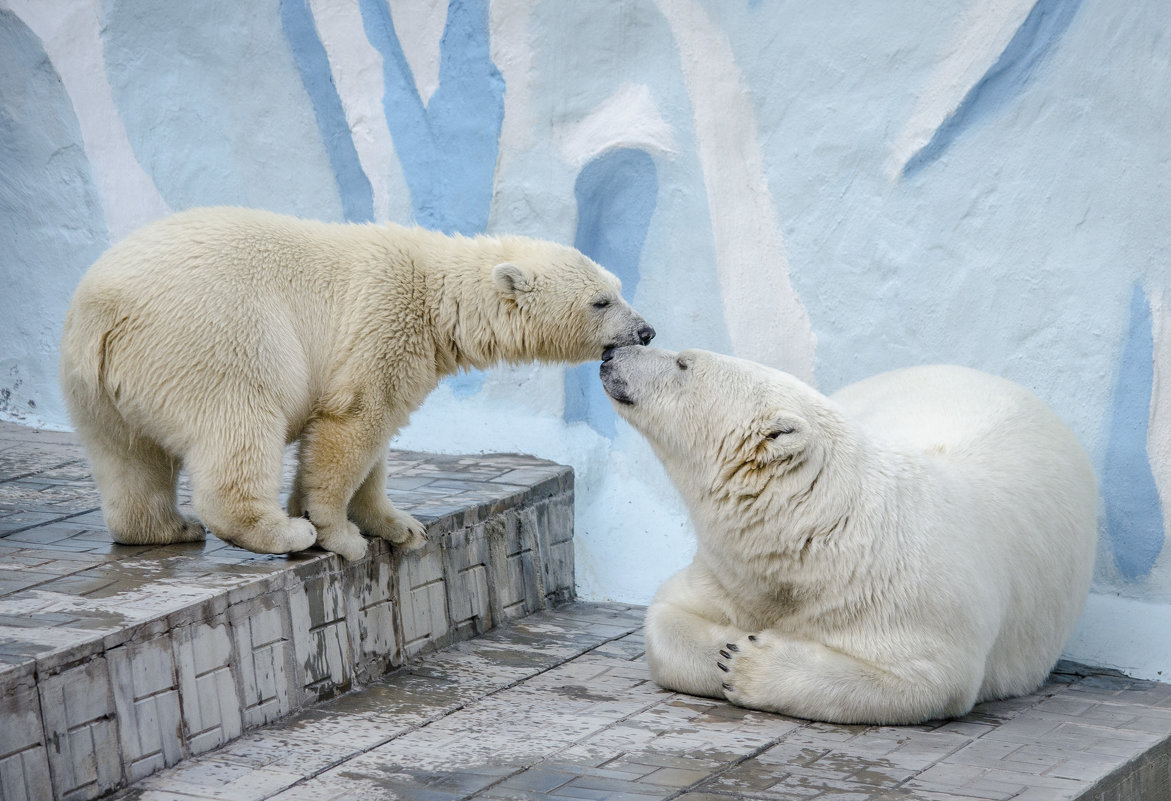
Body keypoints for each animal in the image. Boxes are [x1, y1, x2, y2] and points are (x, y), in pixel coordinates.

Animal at [59, 209, 655, 566]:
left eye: (619, 286)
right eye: (602, 300)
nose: (646, 330)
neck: (438, 293)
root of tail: (103, 309)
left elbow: (376, 446)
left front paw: (399, 527)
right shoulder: (383, 323)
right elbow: (355, 424)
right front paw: (335, 533)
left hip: (97, 384)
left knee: (128, 457)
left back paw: (166, 528)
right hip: (215, 338)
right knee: (240, 424)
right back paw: (276, 532)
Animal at [604, 346, 1096, 726]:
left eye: (684, 362)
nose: (611, 355)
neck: (819, 529)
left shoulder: (912, 596)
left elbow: (928, 679)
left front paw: (749, 660)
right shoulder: (732, 572)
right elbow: (668, 616)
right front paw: (730, 643)